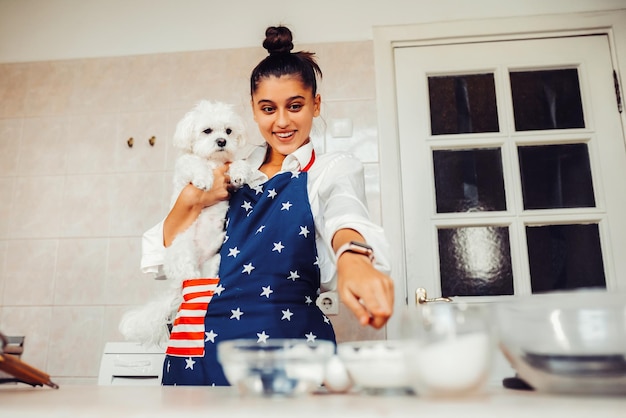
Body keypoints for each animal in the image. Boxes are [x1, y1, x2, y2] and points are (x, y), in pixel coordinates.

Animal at [119, 100, 251, 346]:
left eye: (228, 131)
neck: (212, 161)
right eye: (207, 131)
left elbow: (236, 162)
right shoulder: (185, 171)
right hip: (184, 255)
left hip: (214, 261)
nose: (222, 141)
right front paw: (204, 179)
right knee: (189, 281)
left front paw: (240, 173)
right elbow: (193, 164)